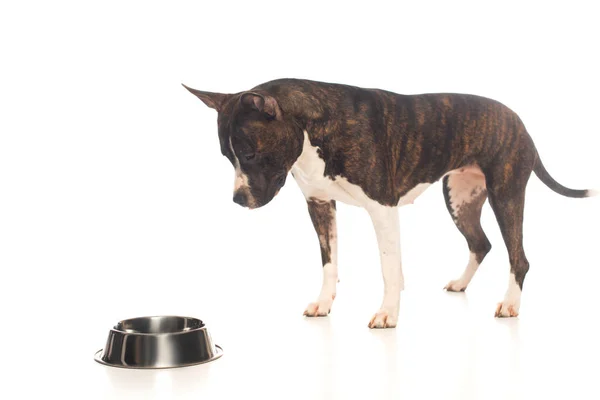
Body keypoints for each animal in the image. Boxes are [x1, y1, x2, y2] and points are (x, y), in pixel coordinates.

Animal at [183, 78, 596, 328]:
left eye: (250, 154)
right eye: (226, 157)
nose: (238, 199)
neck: (315, 128)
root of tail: (520, 121)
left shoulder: (382, 210)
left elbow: (388, 267)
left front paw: (387, 313)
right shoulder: (320, 205)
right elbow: (329, 264)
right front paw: (324, 303)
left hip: (505, 195)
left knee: (518, 256)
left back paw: (510, 304)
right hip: (460, 199)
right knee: (481, 243)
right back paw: (461, 283)